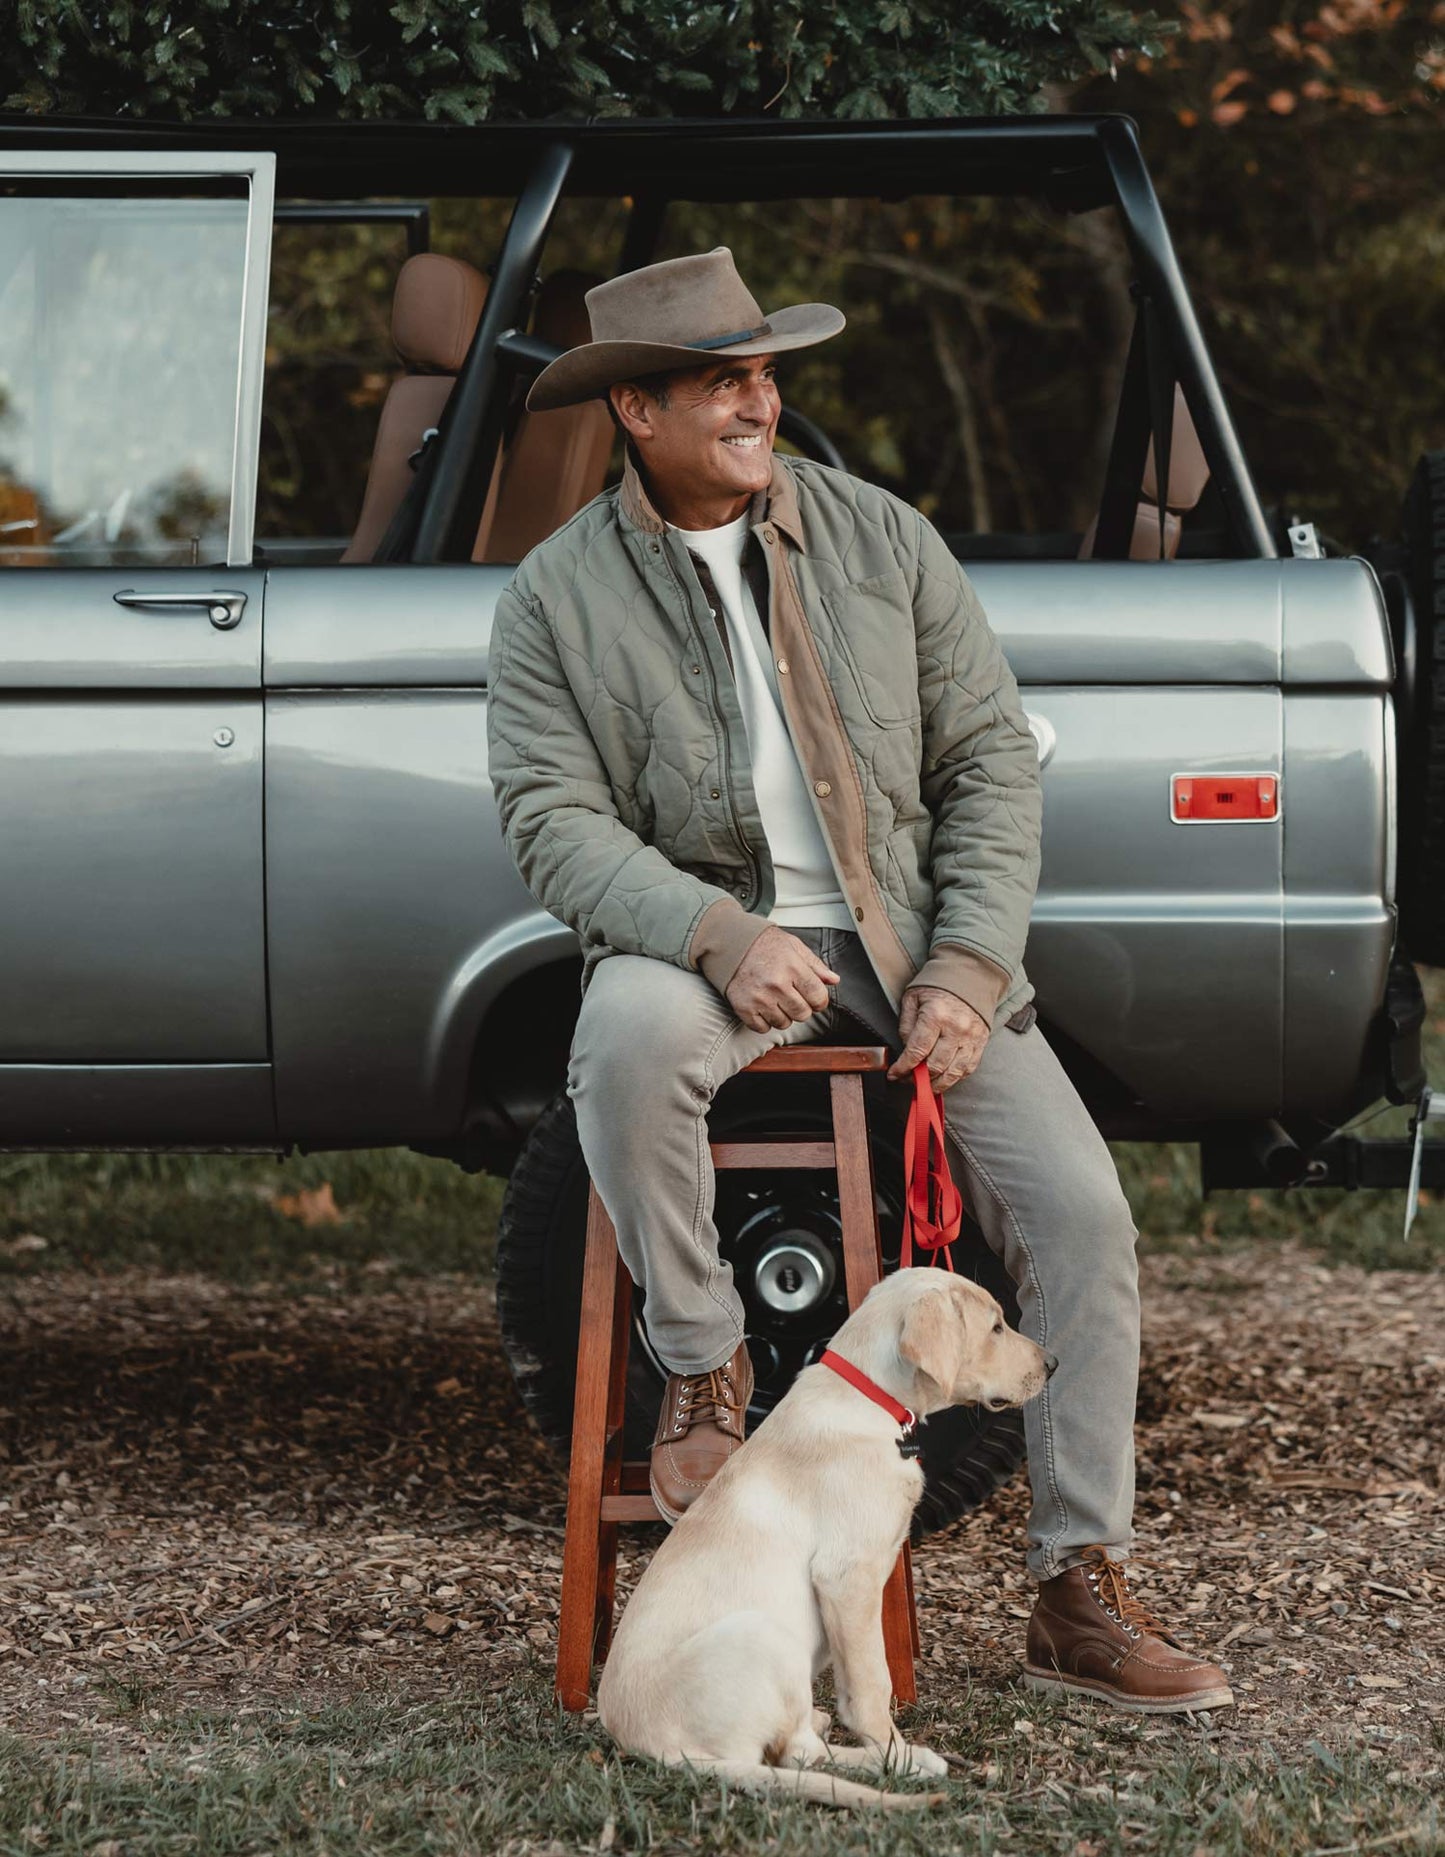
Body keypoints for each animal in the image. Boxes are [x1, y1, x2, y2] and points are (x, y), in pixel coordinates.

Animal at [594, 1270, 1047, 1805]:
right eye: (996, 1327)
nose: (1053, 1364)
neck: (869, 1398)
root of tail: (652, 1748)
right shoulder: (847, 1577)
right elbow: (873, 1684)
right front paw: (896, 1752)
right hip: (763, 1635)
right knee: (795, 1754)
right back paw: (904, 1763)